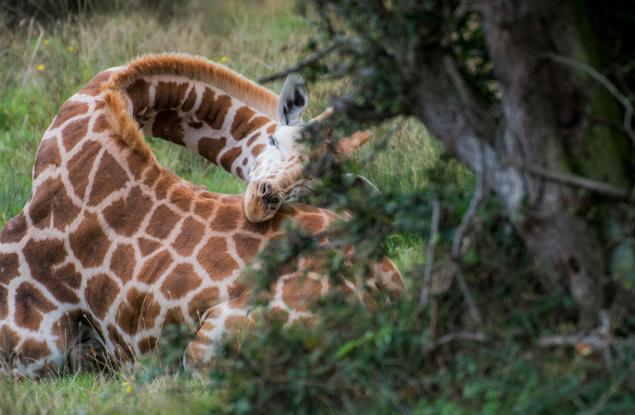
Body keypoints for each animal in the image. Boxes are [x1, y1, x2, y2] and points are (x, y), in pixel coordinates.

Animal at [0, 53, 402, 378]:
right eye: (275, 141)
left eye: (308, 187)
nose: (262, 201)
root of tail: (379, 300)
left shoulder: (36, 340)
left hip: (206, 347)